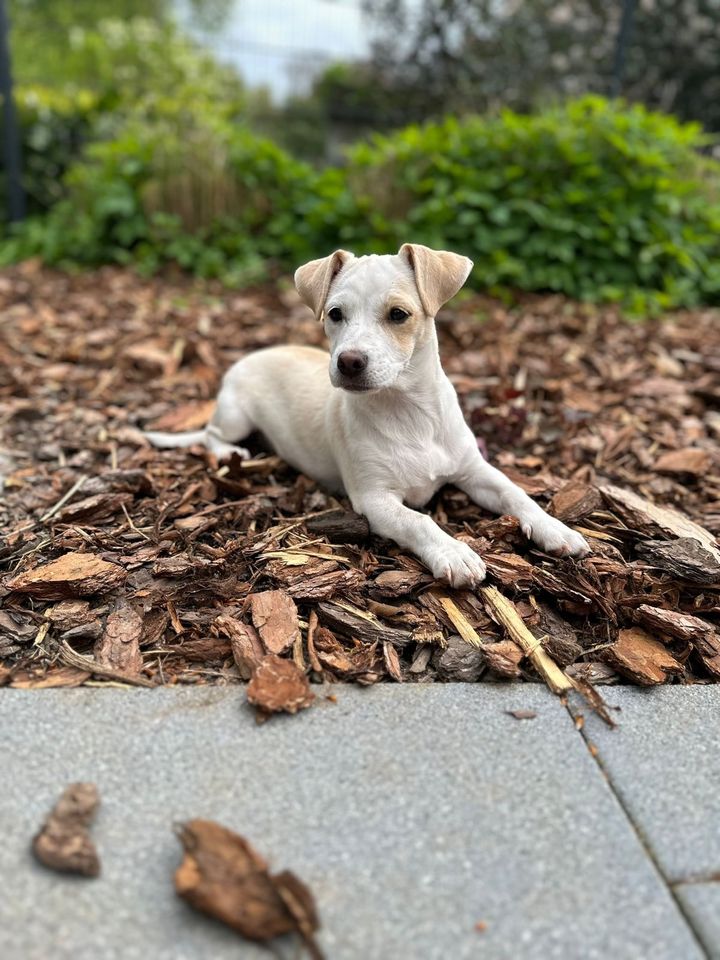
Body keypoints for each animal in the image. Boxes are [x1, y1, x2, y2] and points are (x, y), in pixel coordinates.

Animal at [146, 242, 592, 584]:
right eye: (334, 314)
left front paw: (556, 529)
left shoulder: (474, 471)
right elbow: (419, 521)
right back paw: (229, 453)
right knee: (211, 435)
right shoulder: (374, 499)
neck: (408, 413)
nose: (349, 362)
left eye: (398, 315)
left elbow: (517, 494)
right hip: (235, 414)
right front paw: (454, 552)